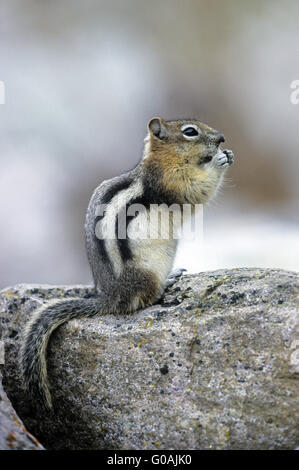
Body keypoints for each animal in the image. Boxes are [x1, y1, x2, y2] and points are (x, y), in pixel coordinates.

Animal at [21, 116, 236, 408]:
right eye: (190, 131)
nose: (222, 138)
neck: (163, 159)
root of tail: (111, 297)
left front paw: (229, 154)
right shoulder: (171, 181)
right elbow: (195, 192)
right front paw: (219, 161)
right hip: (147, 273)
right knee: (146, 299)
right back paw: (167, 283)